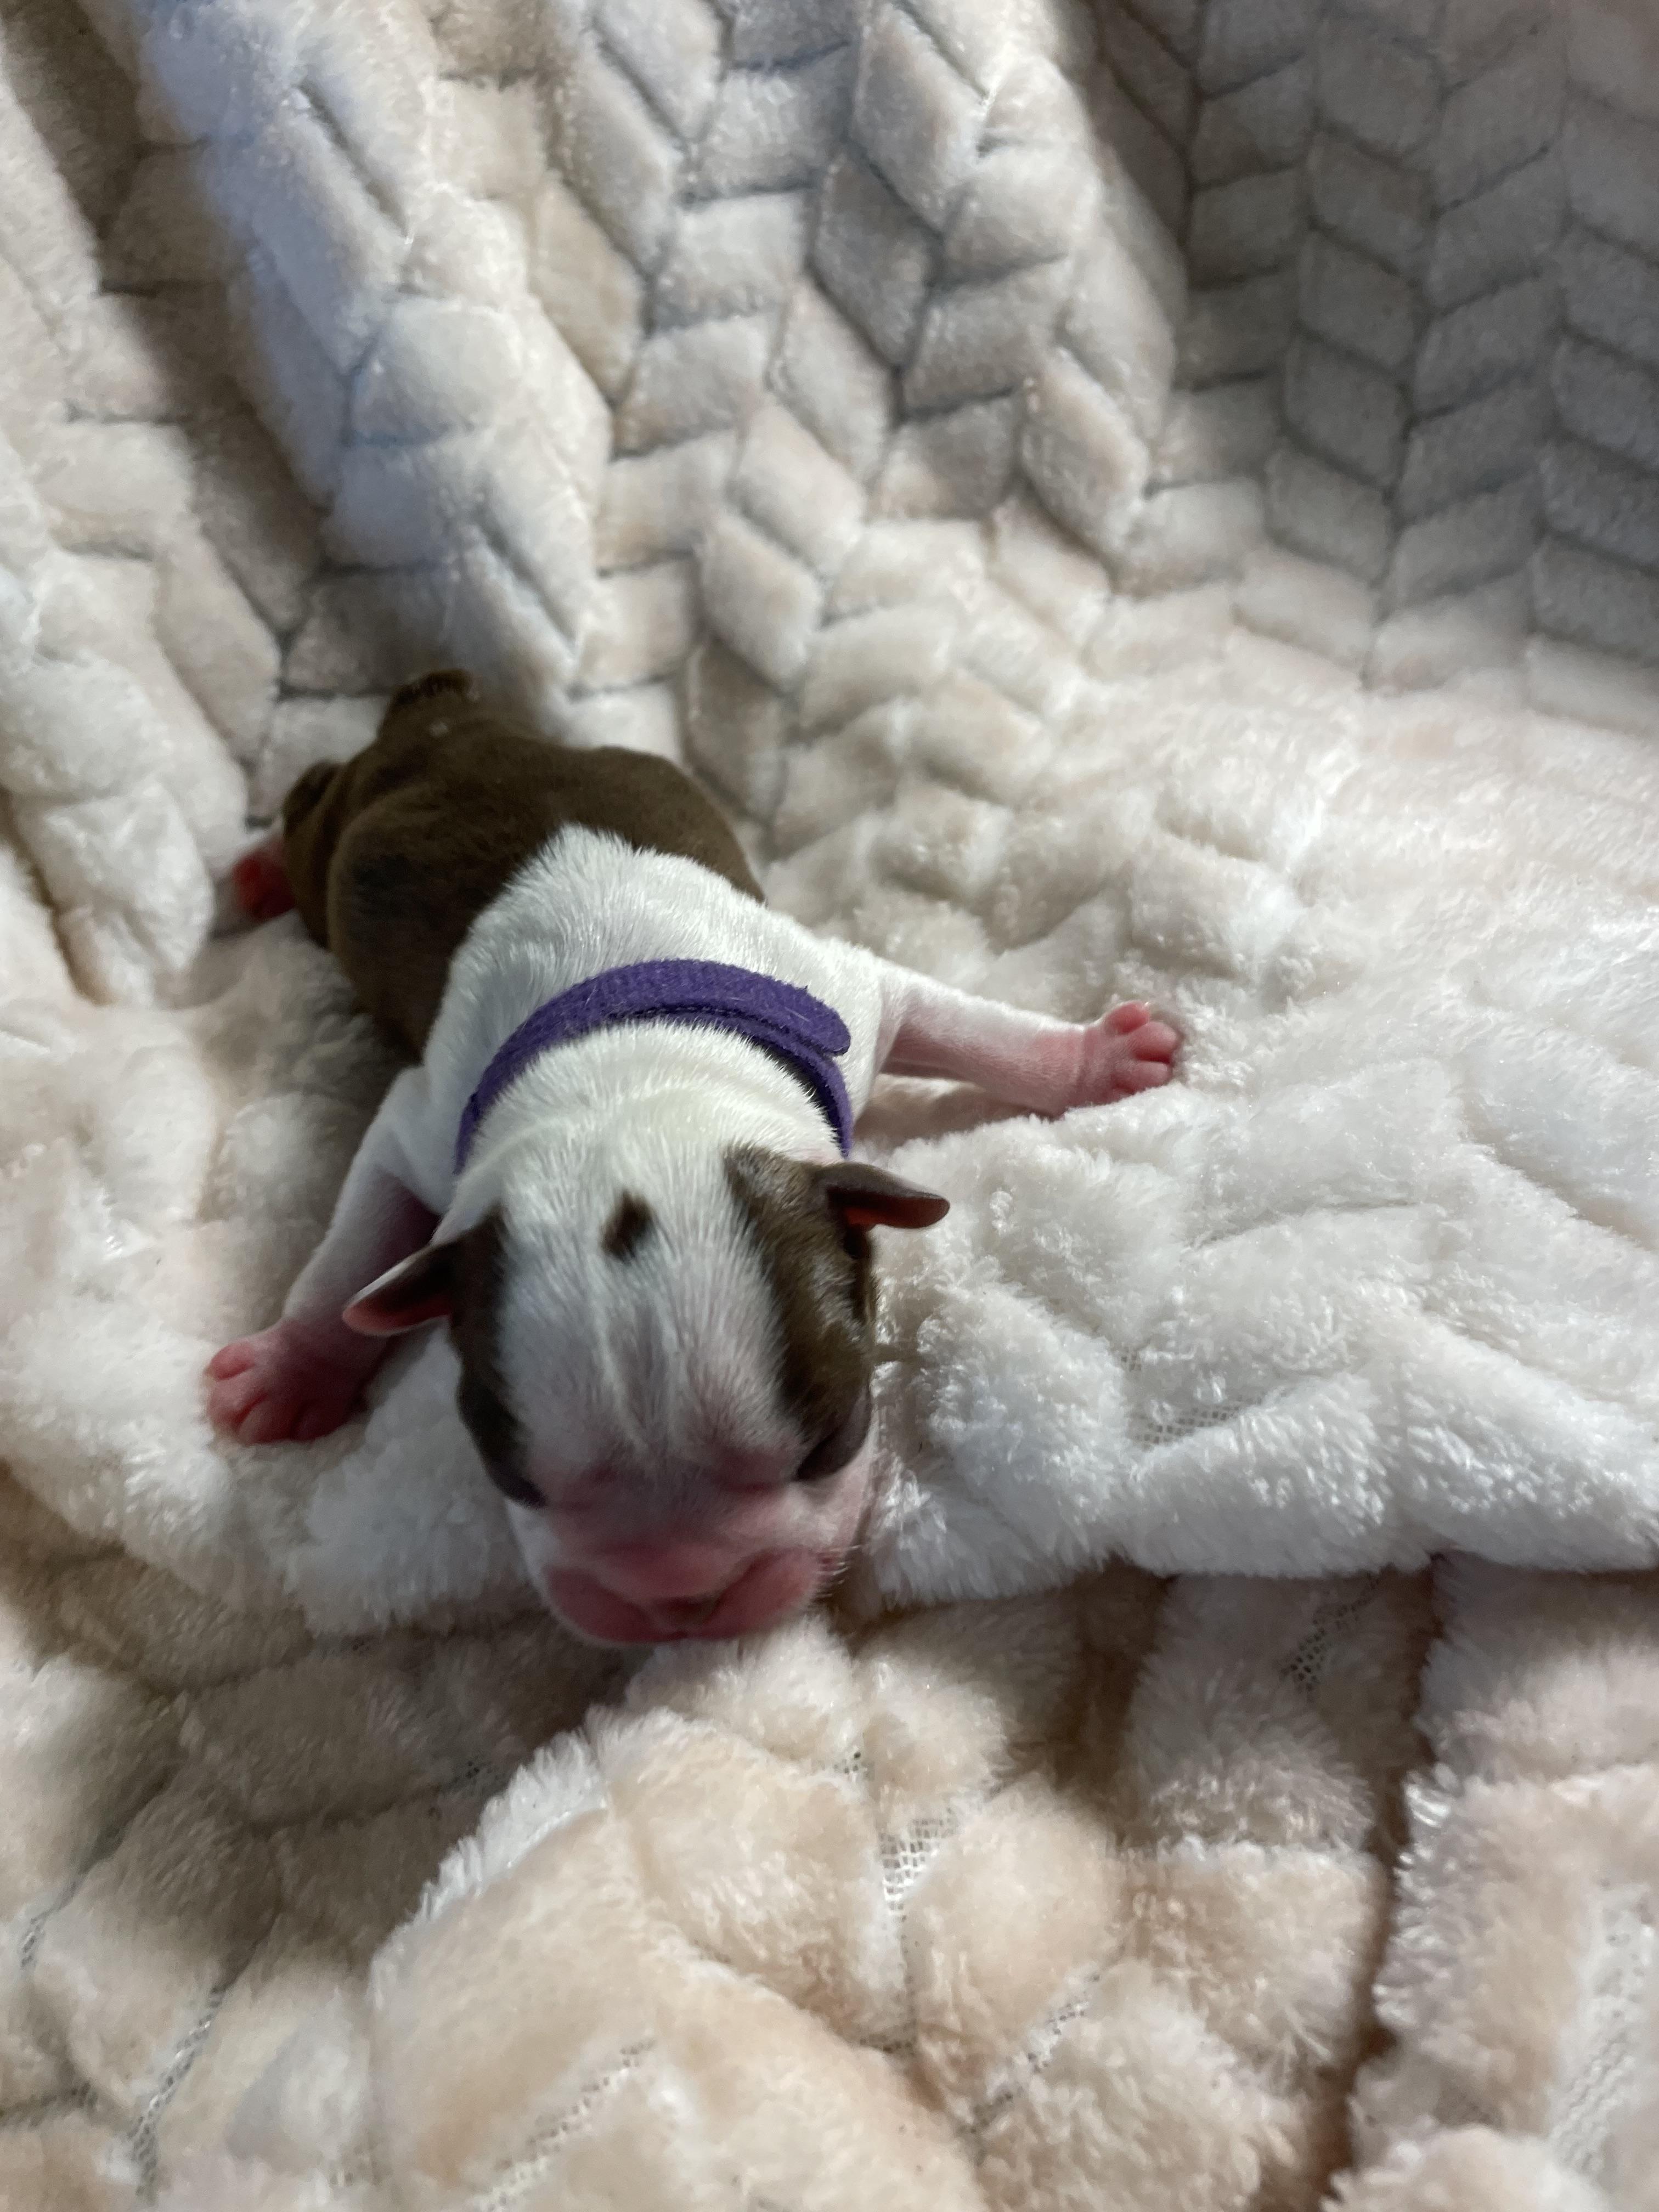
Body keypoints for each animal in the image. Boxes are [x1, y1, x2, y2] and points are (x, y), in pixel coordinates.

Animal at [208, 671, 1179, 1644]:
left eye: (836, 1436)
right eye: (510, 1476)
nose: (680, 1596)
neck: (631, 1064)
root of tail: (446, 713)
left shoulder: (852, 996)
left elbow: (976, 1029)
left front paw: (1098, 1059)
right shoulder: (418, 1127)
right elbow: (344, 1257)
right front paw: (288, 1369)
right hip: (343, 835)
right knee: (311, 798)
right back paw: (260, 868)